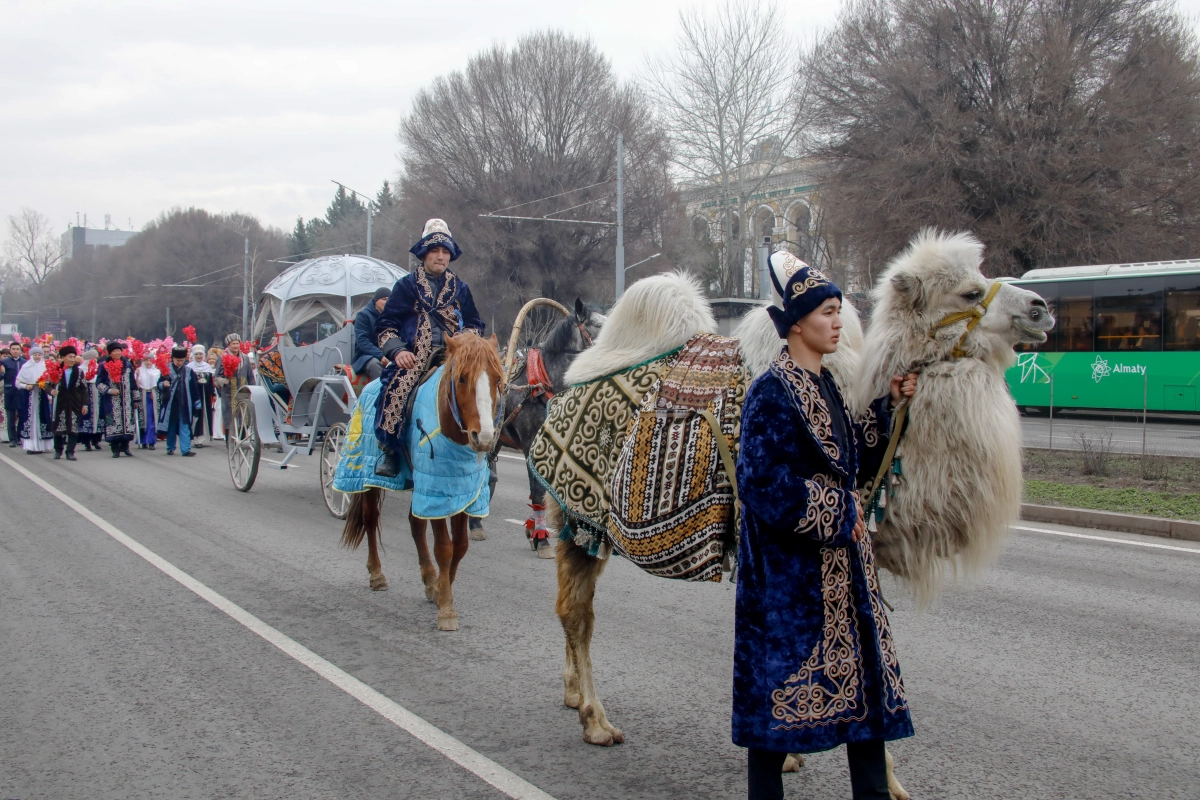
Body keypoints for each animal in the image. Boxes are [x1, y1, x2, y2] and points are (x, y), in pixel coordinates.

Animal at [338, 331, 501, 633]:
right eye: (462, 378)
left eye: (497, 379)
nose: (484, 437)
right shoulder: (436, 490)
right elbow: (444, 548)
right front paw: (446, 608)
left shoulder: (459, 492)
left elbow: (460, 546)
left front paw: (439, 589)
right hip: (369, 479)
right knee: (370, 519)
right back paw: (376, 574)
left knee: (415, 525)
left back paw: (428, 578)